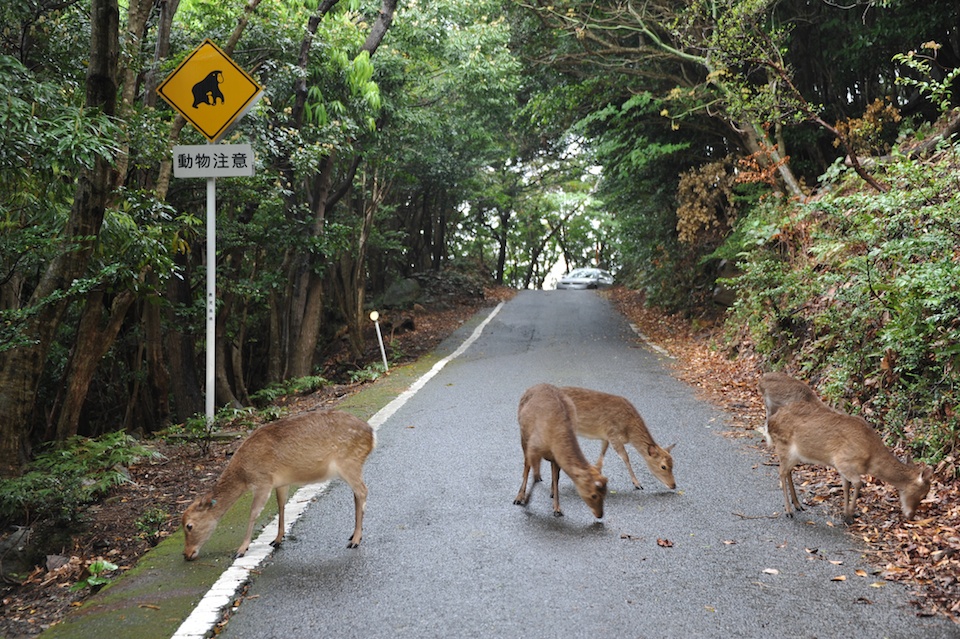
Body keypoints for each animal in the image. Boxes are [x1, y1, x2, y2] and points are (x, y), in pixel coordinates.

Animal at [182, 409, 375, 561]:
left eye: (189, 526)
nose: (187, 554)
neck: (243, 474)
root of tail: (372, 435)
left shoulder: (263, 481)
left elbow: (253, 513)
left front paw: (241, 549)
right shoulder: (280, 483)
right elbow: (281, 505)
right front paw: (277, 539)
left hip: (349, 462)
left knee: (363, 491)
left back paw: (356, 540)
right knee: (356, 494)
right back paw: (354, 535)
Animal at [513, 383, 608, 519]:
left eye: (605, 494)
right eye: (594, 495)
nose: (600, 515)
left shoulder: (555, 458)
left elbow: (556, 478)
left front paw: (557, 508)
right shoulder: (533, 445)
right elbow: (530, 471)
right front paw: (524, 499)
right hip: (524, 436)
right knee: (527, 465)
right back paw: (521, 495)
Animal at [767, 399, 932, 524]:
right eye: (923, 494)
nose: (911, 516)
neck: (870, 459)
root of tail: (770, 422)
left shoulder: (842, 468)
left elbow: (846, 486)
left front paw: (846, 513)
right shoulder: (843, 462)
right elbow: (858, 483)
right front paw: (850, 515)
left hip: (796, 455)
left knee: (788, 471)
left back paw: (798, 504)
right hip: (784, 447)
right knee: (781, 472)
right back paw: (789, 511)